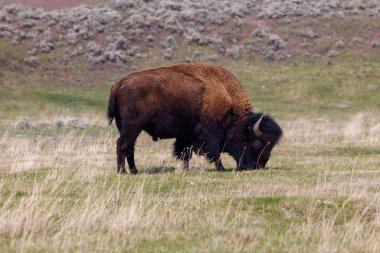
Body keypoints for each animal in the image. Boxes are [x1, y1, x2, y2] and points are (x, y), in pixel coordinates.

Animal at [107, 62, 282, 175]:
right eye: (259, 143)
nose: (258, 165)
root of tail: (120, 83)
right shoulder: (210, 133)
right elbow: (214, 151)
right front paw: (221, 168)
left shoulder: (186, 134)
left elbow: (185, 152)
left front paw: (186, 169)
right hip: (133, 126)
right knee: (122, 144)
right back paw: (123, 172)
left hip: (130, 128)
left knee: (129, 147)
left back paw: (134, 171)